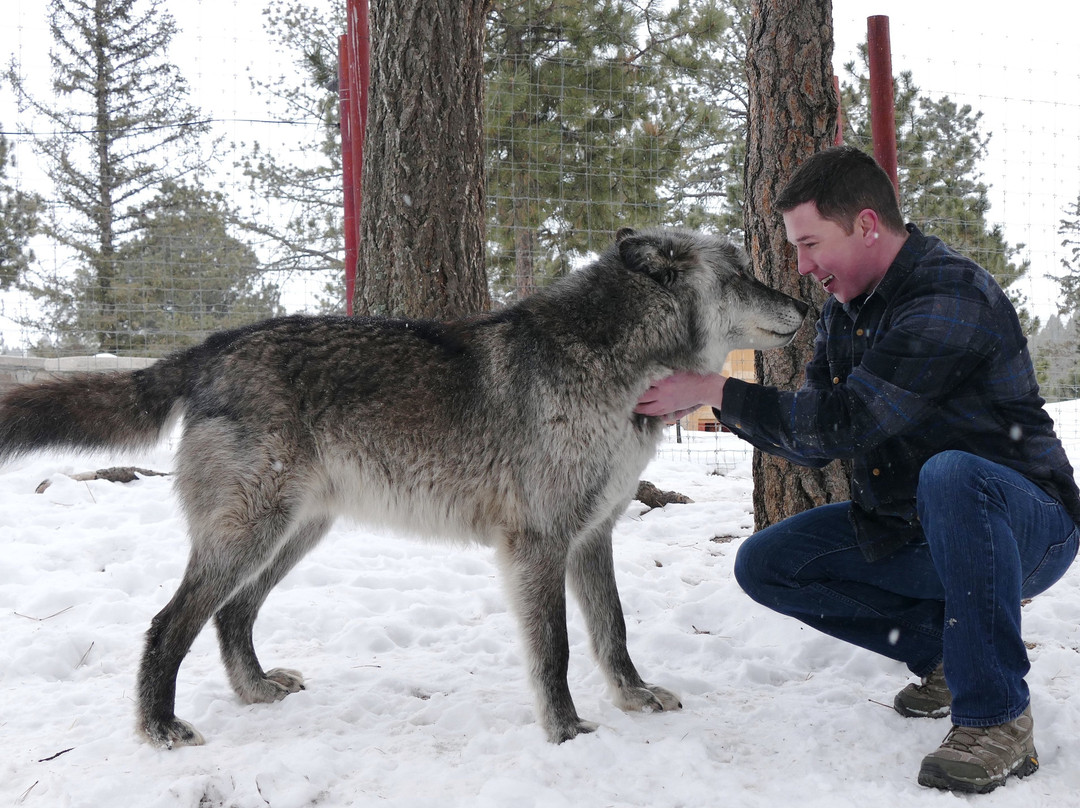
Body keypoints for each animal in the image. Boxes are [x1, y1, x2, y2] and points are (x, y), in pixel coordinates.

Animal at [0, 225, 807, 743]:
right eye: (740, 272)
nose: (805, 305)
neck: (614, 360)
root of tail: (213, 345)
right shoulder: (539, 544)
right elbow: (555, 650)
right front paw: (567, 730)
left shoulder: (593, 535)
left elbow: (614, 633)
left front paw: (634, 700)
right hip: (249, 537)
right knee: (169, 623)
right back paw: (160, 727)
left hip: (294, 535)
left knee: (232, 617)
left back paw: (255, 691)